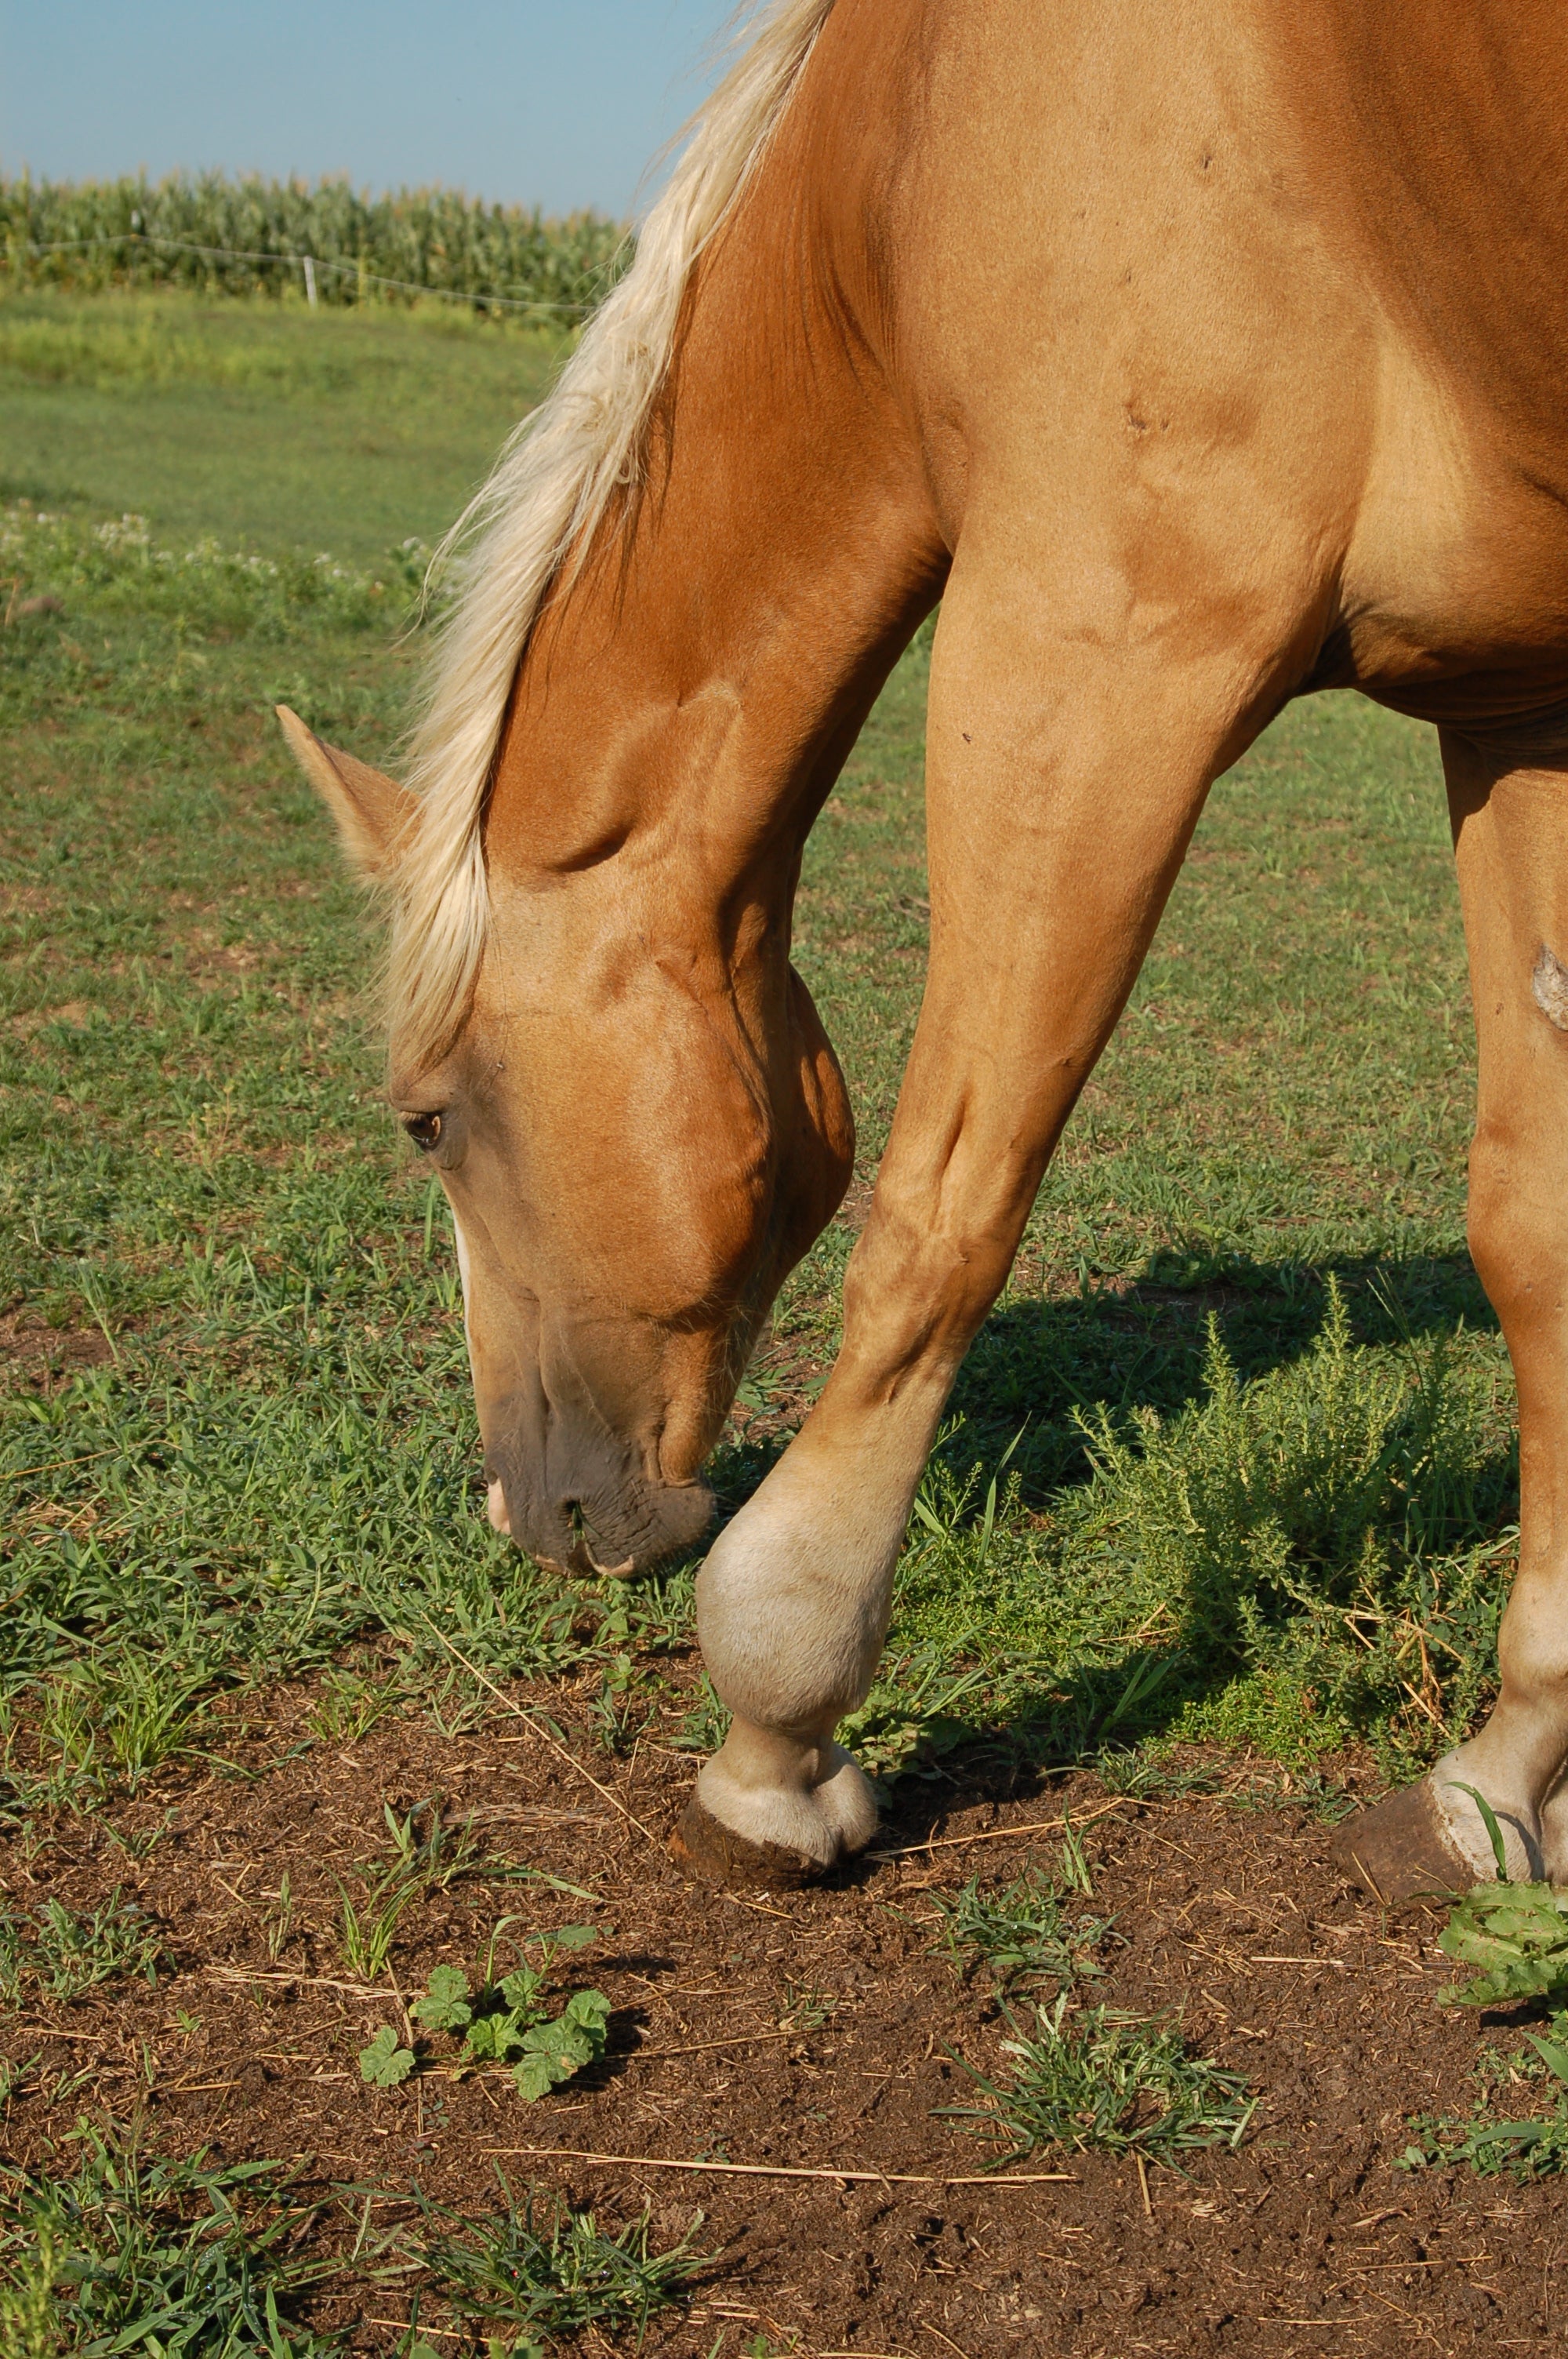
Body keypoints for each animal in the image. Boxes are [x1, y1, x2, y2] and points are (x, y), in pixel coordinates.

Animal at [281, 0, 1568, 1900]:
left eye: (429, 1119)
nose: (530, 1513)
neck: (917, 143)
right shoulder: (1514, 697)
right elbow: (1531, 1225)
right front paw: (1506, 1765)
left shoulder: (1093, 641)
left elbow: (940, 1213)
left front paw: (777, 1727)